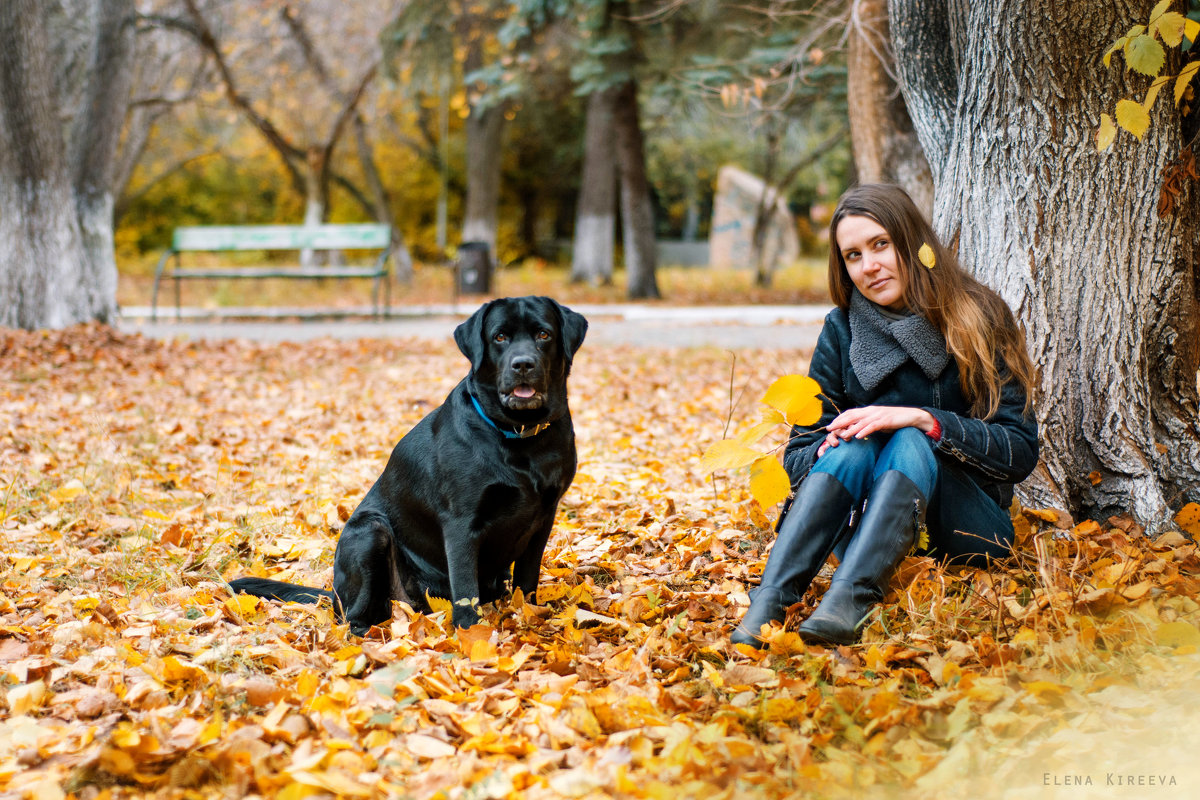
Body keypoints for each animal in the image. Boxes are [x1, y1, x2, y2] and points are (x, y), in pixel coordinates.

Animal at [228, 293, 585, 633]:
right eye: (499, 337)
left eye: (543, 334)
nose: (522, 364)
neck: (519, 436)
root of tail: (335, 595)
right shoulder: (461, 523)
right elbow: (466, 590)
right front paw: (471, 637)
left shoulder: (544, 516)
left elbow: (527, 581)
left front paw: (531, 618)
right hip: (370, 532)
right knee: (351, 618)